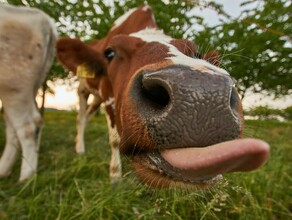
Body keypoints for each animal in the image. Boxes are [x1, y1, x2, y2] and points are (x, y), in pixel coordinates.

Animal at [56, 4, 268, 188]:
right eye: (109, 53)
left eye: (197, 53)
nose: (201, 95)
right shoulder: (108, 96)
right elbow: (115, 139)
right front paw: (115, 176)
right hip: (83, 89)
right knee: (81, 117)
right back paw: (80, 148)